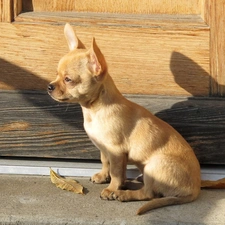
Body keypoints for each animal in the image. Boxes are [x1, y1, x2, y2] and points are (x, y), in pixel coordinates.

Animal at [47, 23, 200, 215]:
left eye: (68, 80)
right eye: (56, 75)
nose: (49, 86)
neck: (94, 109)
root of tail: (196, 189)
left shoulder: (116, 151)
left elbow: (116, 172)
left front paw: (112, 188)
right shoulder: (104, 148)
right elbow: (105, 162)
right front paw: (103, 176)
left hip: (154, 166)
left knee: (149, 194)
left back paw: (124, 195)